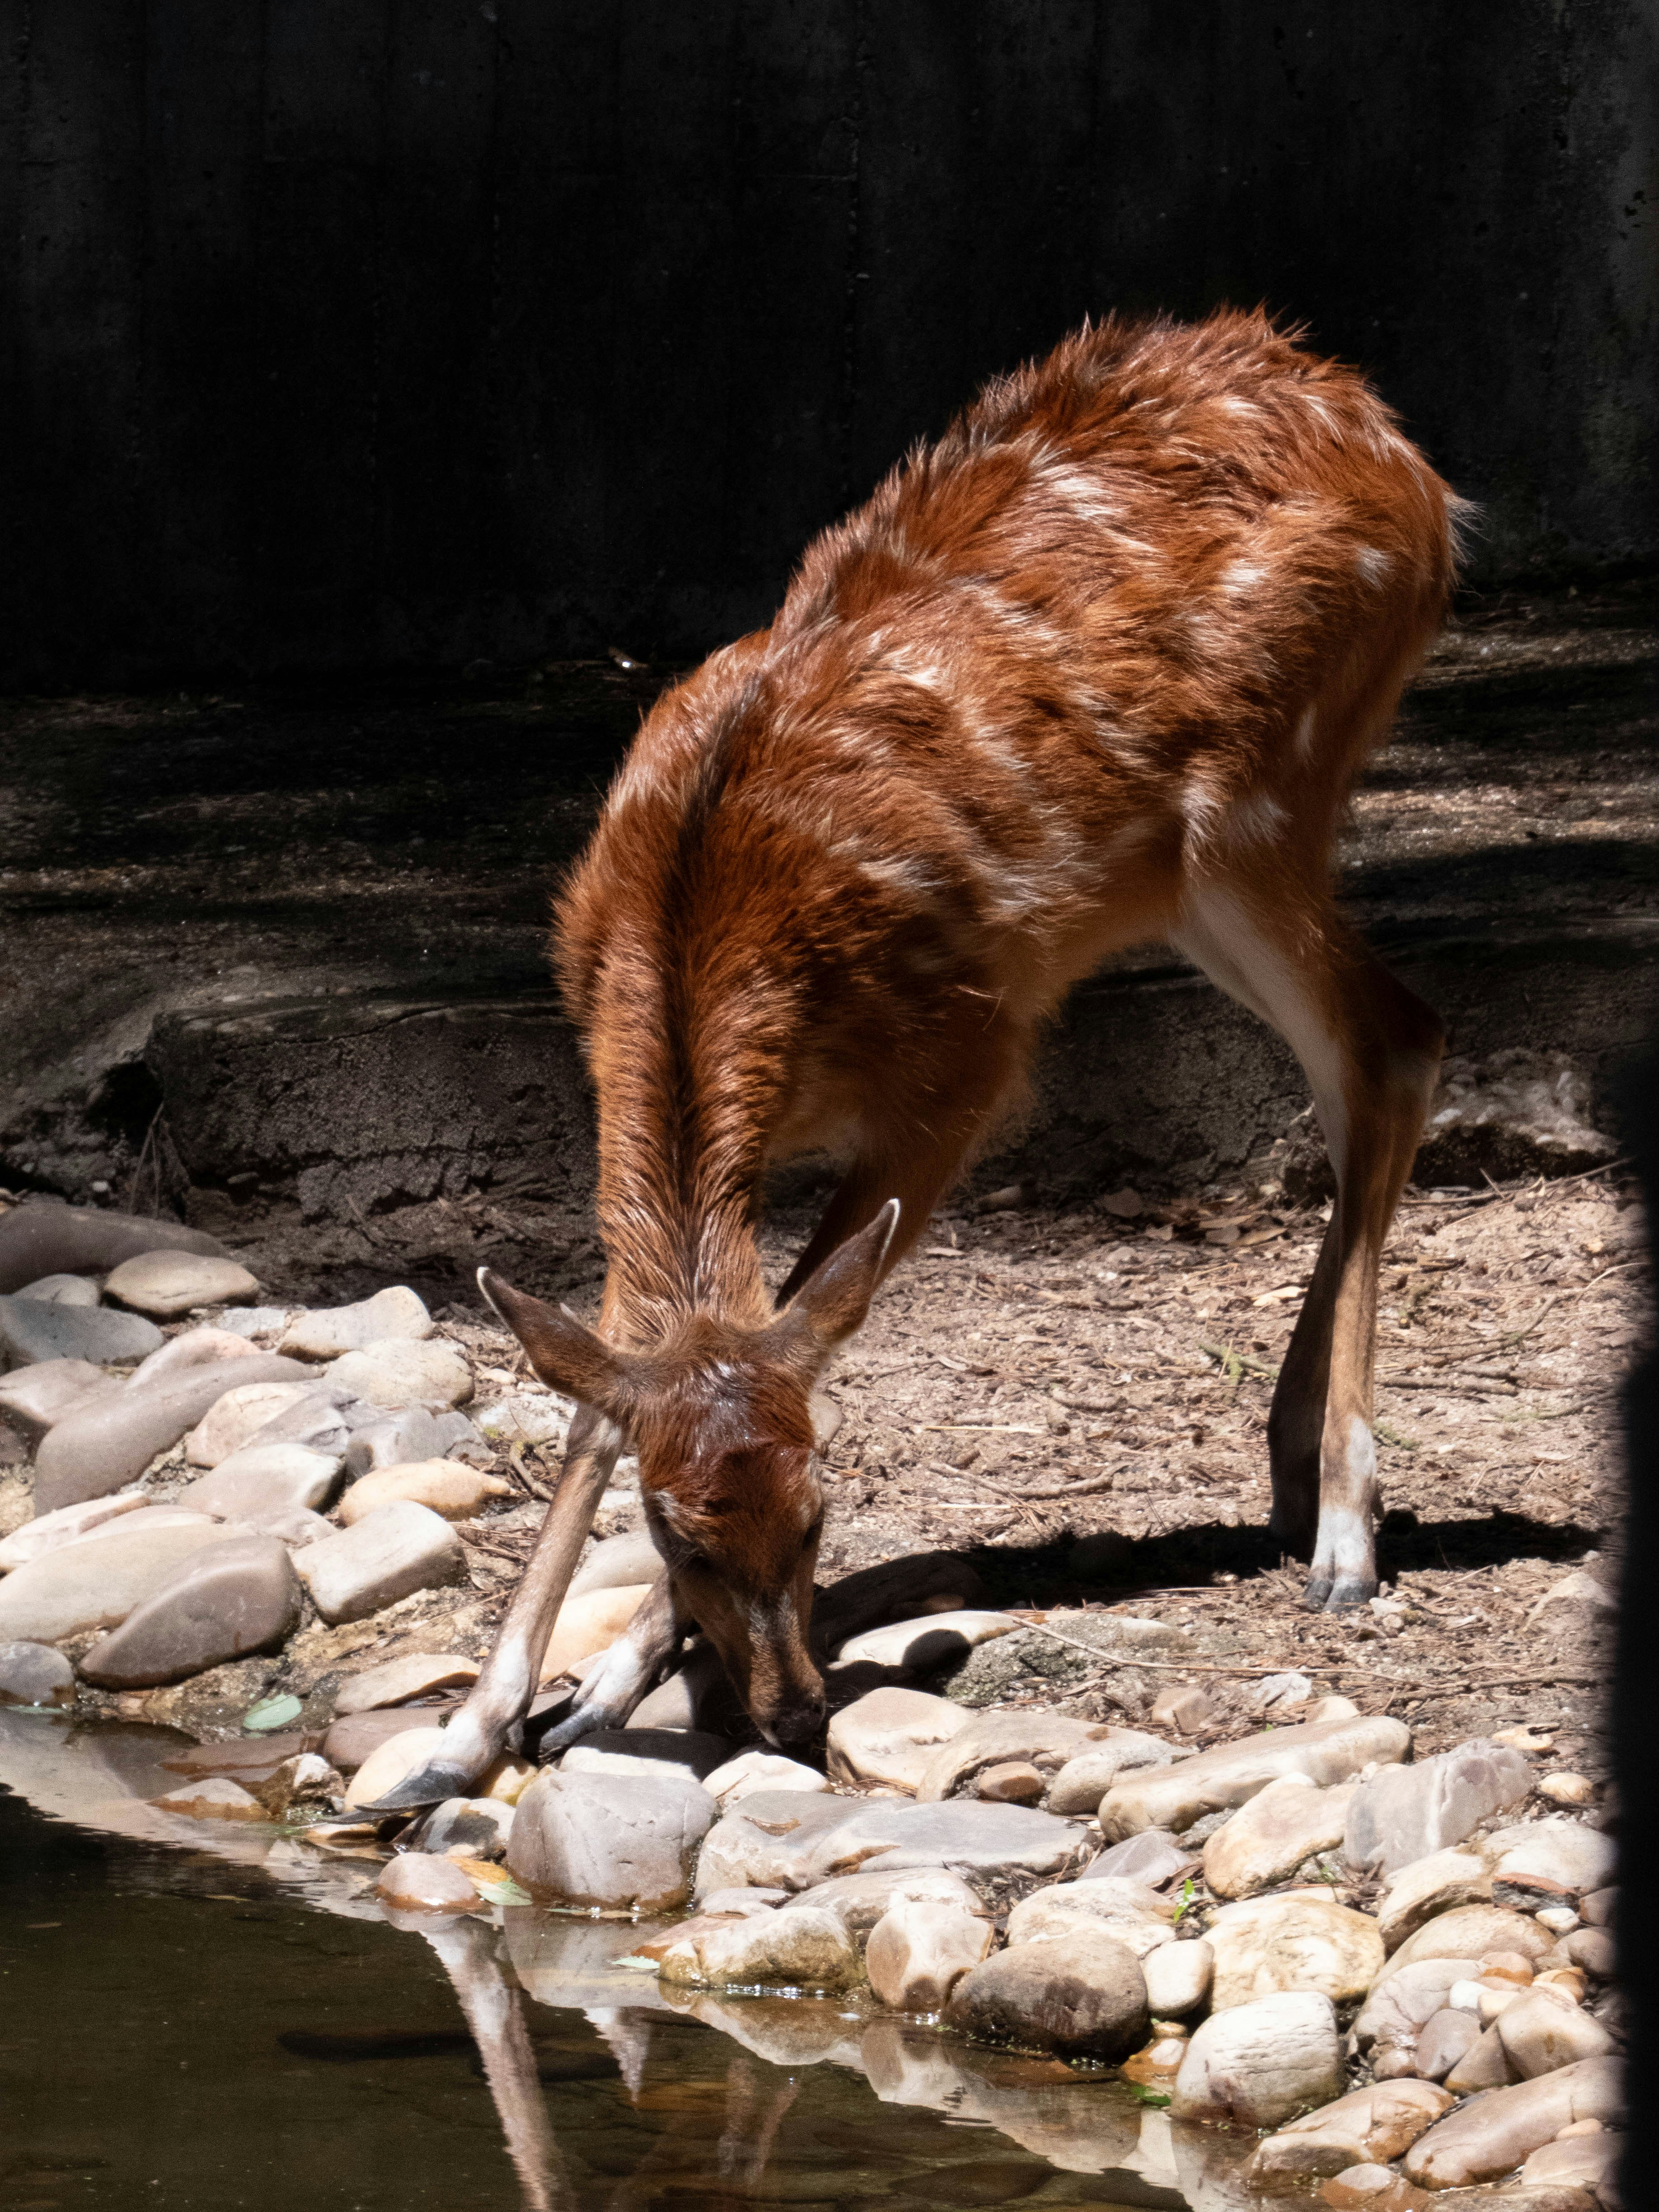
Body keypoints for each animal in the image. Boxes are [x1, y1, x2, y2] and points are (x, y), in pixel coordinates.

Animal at [370, 308, 1464, 1813]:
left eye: (822, 1511)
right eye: (680, 1530)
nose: (790, 1718)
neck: (705, 914)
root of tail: (1408, 462)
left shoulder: (968, 1050)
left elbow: (818, 1305)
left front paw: (597, 1690)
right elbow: (605, 1394)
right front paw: (472, 1737)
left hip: (1260, 796)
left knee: (1393, 1034)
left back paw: (1350, 1534)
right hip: (1188, 877)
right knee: (1366, 1056)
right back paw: (1298, 1469)